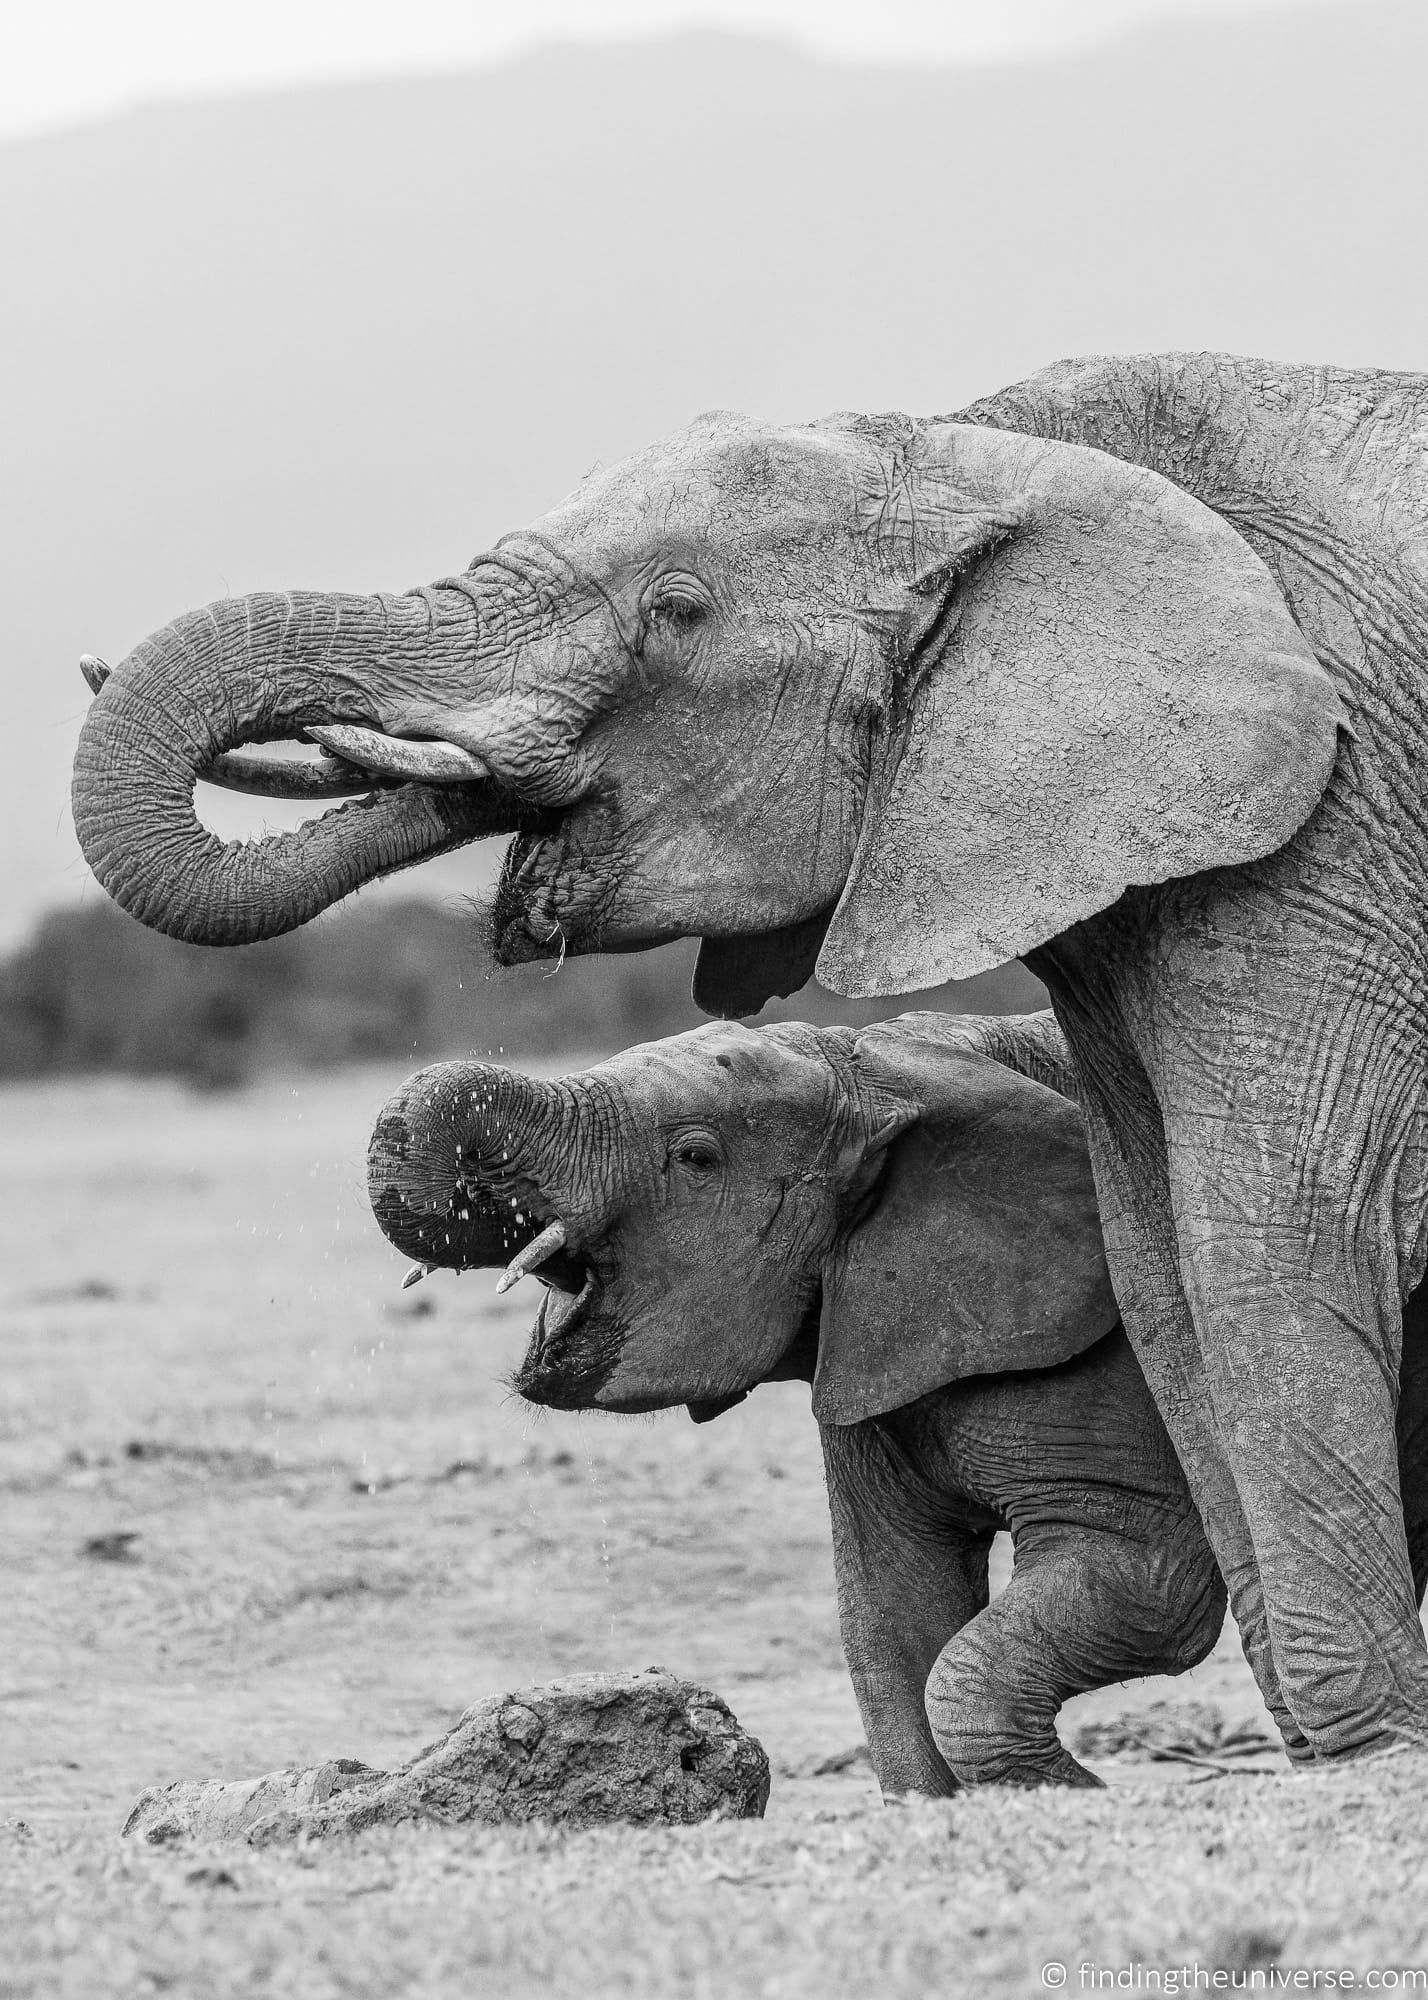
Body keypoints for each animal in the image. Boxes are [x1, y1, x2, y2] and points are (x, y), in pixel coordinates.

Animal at [71, 349, 1428, 1761]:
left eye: (678, 609)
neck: (990, 448)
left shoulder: (1331, 835)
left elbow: (1265, 1237)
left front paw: (1371, 1748)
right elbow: (1158, 1265)